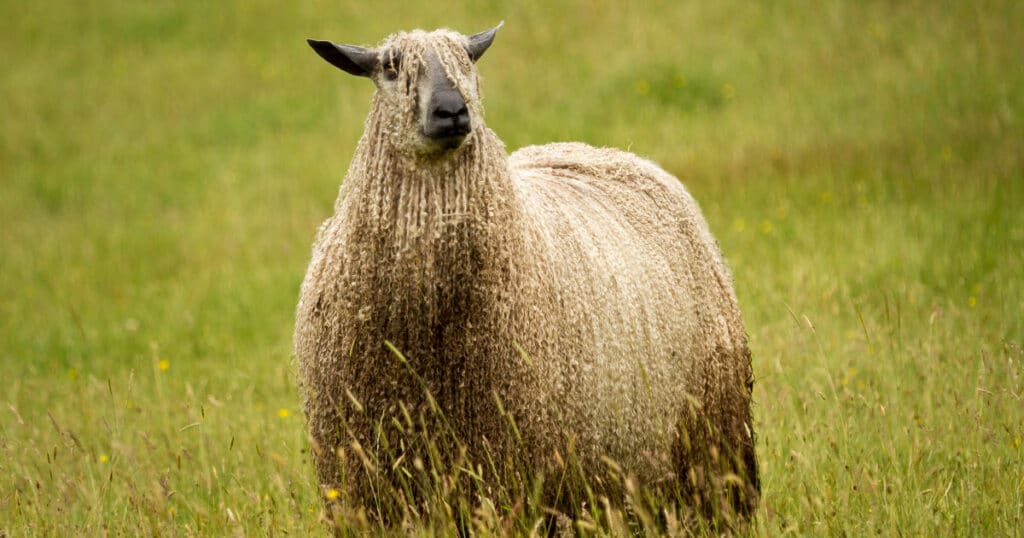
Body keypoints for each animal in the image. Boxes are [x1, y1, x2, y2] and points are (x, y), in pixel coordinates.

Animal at [294, 24, 759, 525]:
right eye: (391, 67)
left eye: (468, 63)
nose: (452, 111)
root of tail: (612, 154)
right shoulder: (366, 480)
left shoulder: (512, 469)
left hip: (712, 443)